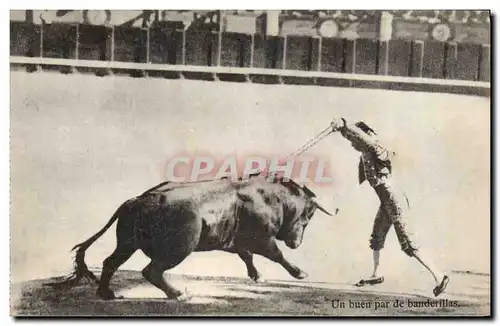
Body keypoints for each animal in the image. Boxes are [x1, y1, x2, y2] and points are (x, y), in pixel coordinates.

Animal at [53, 176, 336, 300]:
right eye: (308, 217)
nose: (297, 243)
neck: (269, 197)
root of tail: (137, 200)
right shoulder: (263, 239)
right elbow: (276, 255)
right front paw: (299, 273)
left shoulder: (236, 242)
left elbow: (247, 257)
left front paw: (257, 276)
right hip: (178, 249)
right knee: (151, 270)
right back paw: (178, 294)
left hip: (127, 243)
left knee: (111, 262)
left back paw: (107, 294)